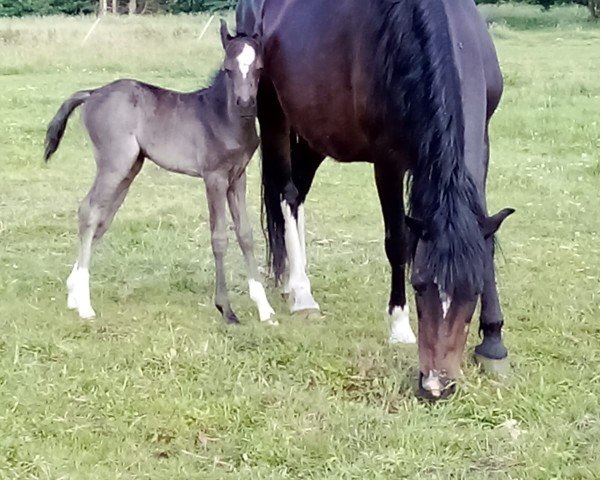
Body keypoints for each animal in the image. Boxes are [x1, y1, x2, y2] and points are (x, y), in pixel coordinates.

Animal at [237, 0, 512, 398]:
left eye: (472, 292)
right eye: (419, 286)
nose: (435, 385)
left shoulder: (483, 143)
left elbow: (485, 241)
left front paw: (493, 342)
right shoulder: (388, 160)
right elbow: (398, 243)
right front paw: (399, 326)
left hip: (316, 131)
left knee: (299, 193)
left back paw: (292, 282)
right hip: (273, 115)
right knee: (287, 195)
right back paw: (302, 293)